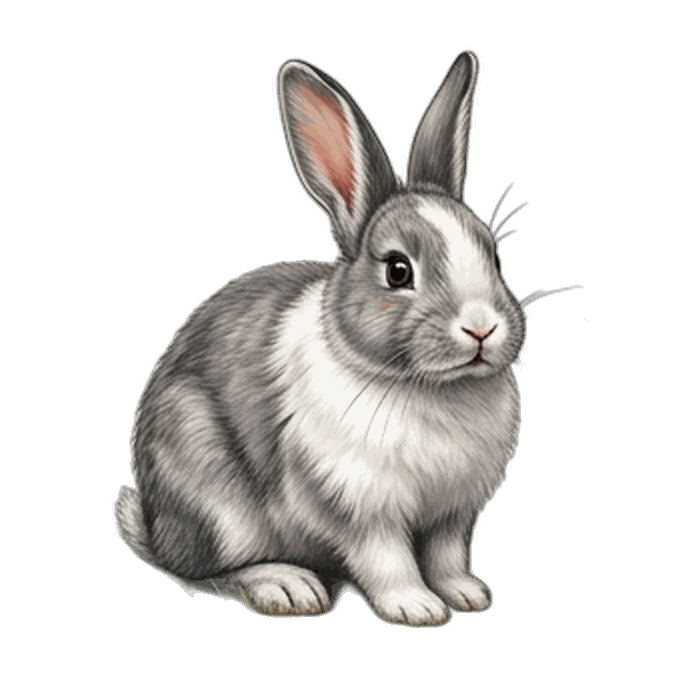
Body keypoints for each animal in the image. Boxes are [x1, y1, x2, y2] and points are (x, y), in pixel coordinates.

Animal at [116, 49, 577, 627]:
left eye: (493, 254)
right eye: (398, 271)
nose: (481, 327)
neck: (428, 387)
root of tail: (155, 525)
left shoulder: (451, 515)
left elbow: (445, 556)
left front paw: (466, 594)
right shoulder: (359, 507)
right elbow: (387, 558)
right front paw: (416, 606)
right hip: (214, 499)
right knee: (203, 570)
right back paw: (285, 586)